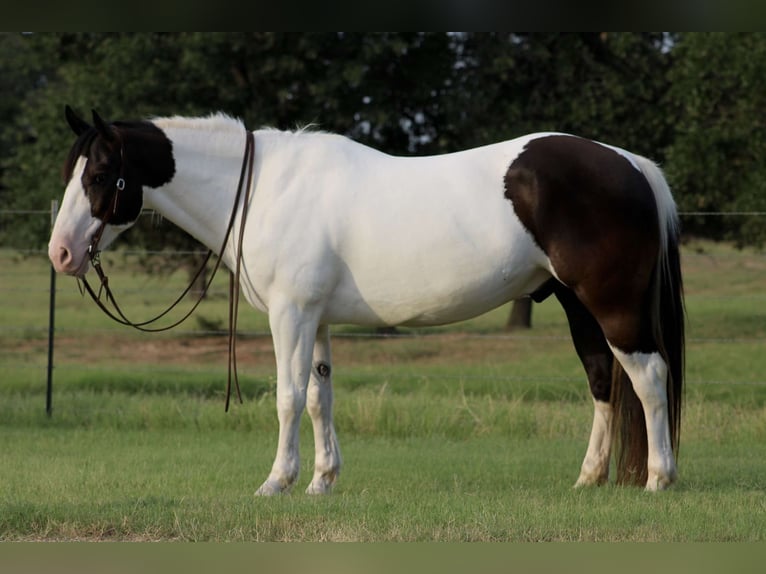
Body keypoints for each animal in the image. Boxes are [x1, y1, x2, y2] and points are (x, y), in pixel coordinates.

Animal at [49, 107, 684, 496]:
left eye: (100, 175)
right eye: (70, 172)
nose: (61, 253)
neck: (264, 189)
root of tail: (629, 163)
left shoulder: (291, 313)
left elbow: (286, 397)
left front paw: (277, 482)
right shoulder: (317, 318)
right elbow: (318, 397)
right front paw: (321, 481)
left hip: (612, 305)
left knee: (649, 377)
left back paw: (659, 478)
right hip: (577, 306)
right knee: (603, 381)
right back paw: (588, 478)